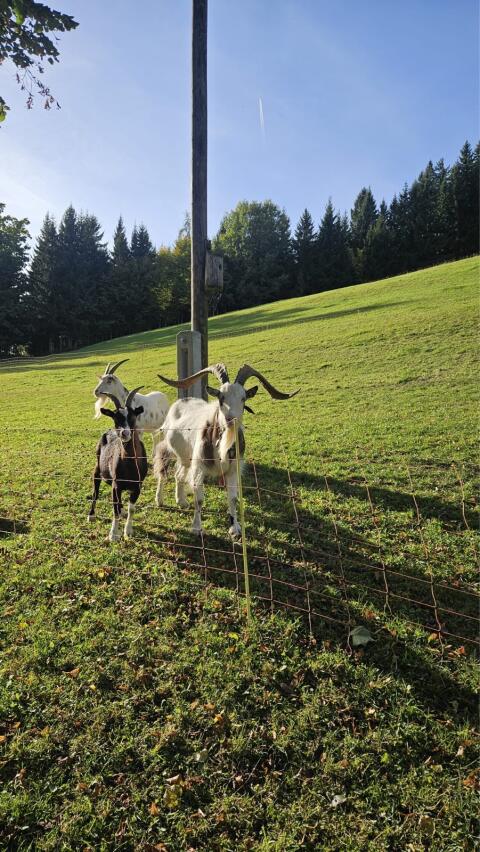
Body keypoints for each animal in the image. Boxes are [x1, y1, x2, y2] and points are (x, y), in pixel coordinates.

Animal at [88, 386, 148, 541]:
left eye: (133, 416)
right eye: (115, 417)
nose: (124, 433)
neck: (130, 464)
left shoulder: (137, 486)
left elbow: (131, 509)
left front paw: (128, 531)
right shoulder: (116, 484)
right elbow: (114, 507)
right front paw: (113, 534)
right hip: (97, 468)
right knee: (95, 492)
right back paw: (91, 515)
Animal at [154, 363, 299, 537]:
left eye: (243, 398)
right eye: (221, 397)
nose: (230, 419)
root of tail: (180, 402)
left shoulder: (233, 469)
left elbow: (233, 498)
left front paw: (235, 528)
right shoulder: (199, 467)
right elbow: (199, 499)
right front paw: (196, 528)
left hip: (185, 457)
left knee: (178, 474)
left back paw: (181, 501)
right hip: (169, 447)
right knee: (163, 469)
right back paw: (159, 500)